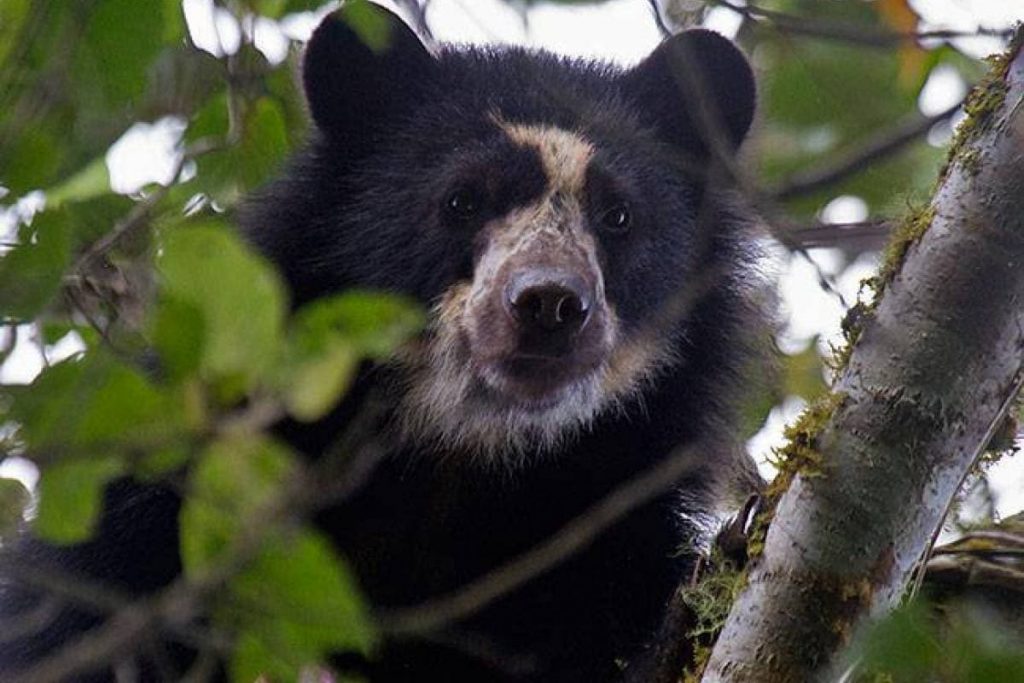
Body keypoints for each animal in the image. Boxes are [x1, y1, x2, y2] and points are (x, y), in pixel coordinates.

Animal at [0, 5, 762, 682]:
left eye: (619, 215)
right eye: (461, 200)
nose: (549, 303)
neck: (460, 459)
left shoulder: (612, 543)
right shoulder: (151, 523)